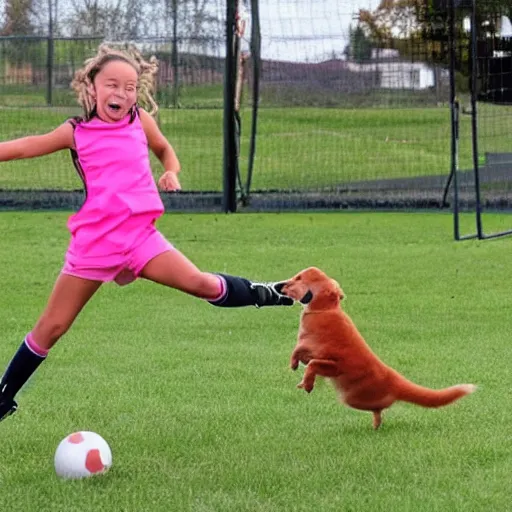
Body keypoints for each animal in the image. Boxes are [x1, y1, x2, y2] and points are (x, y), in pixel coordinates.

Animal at [276, 266, 476, 430]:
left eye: (299, 278)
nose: (279, 285)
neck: (326, 310)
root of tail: (395, 380)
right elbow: (300, 355)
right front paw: (298, 370)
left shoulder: (332, 363)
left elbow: (310, 362)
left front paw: (307, 383)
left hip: (351, 398)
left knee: (379, 408)